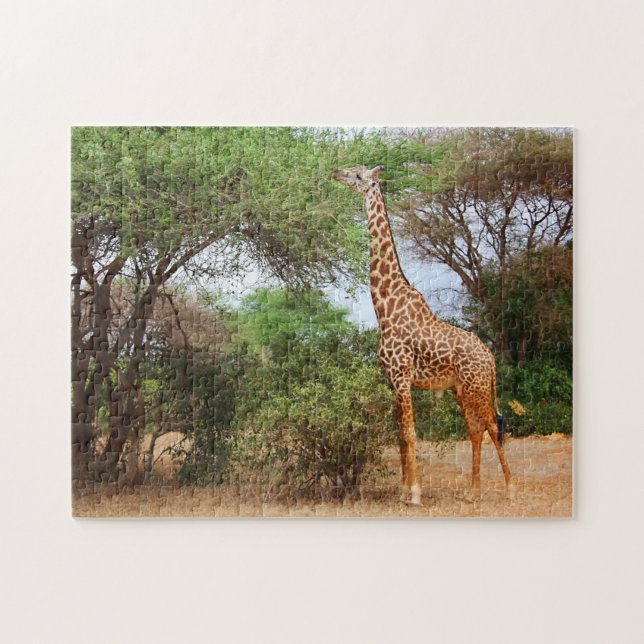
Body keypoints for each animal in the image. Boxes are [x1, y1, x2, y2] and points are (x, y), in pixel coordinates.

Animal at [330, 165, 513, 505]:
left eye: (359, 176)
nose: (335, 173)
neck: (385, 306)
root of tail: (490, 357)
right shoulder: (391, 379)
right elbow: (400, 435)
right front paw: (404, 492)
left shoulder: (403, 376)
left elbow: (410, 433)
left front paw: (415, 494)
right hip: (462, 389)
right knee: (475, 429)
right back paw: (473, 491)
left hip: (479, 387)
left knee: (493, 426)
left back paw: (510, 489)